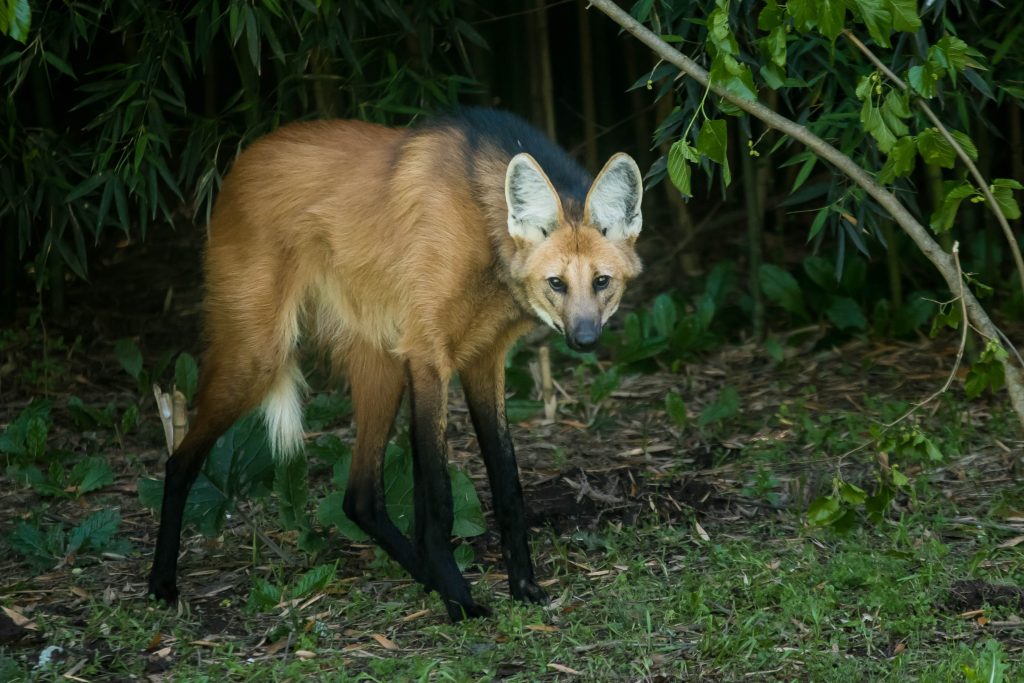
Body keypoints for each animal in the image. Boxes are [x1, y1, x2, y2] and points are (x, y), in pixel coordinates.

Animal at [148, 105, 643, 618]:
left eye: (602, 282)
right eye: (556, 283)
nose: (584, 338)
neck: (487, 230)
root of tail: (237, 165)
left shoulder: (482, 360)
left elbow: (505, 481)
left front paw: (520, 587)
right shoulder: (428, 357)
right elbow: (440, 497)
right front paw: (461, 602)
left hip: (382, 363)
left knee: (359, 497)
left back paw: (424, 575)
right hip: (259, 356)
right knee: (180, 461)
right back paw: (162, 583)